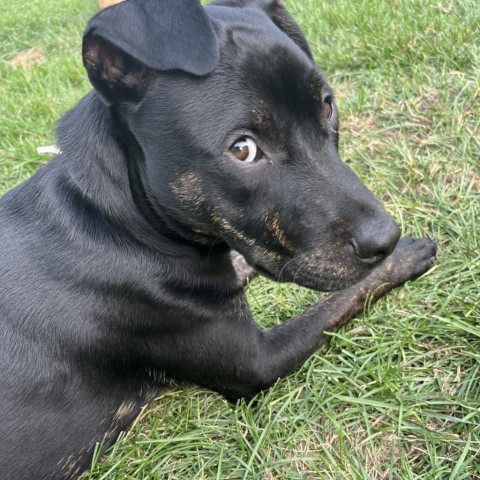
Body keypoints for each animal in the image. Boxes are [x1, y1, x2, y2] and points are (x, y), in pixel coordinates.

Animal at [0, 1, 436, 478]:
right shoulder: (258, 362)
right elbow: (341, 298)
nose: (386, 239)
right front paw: (407, 255)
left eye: (326, 107)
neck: (119, 222)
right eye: (242, 149)